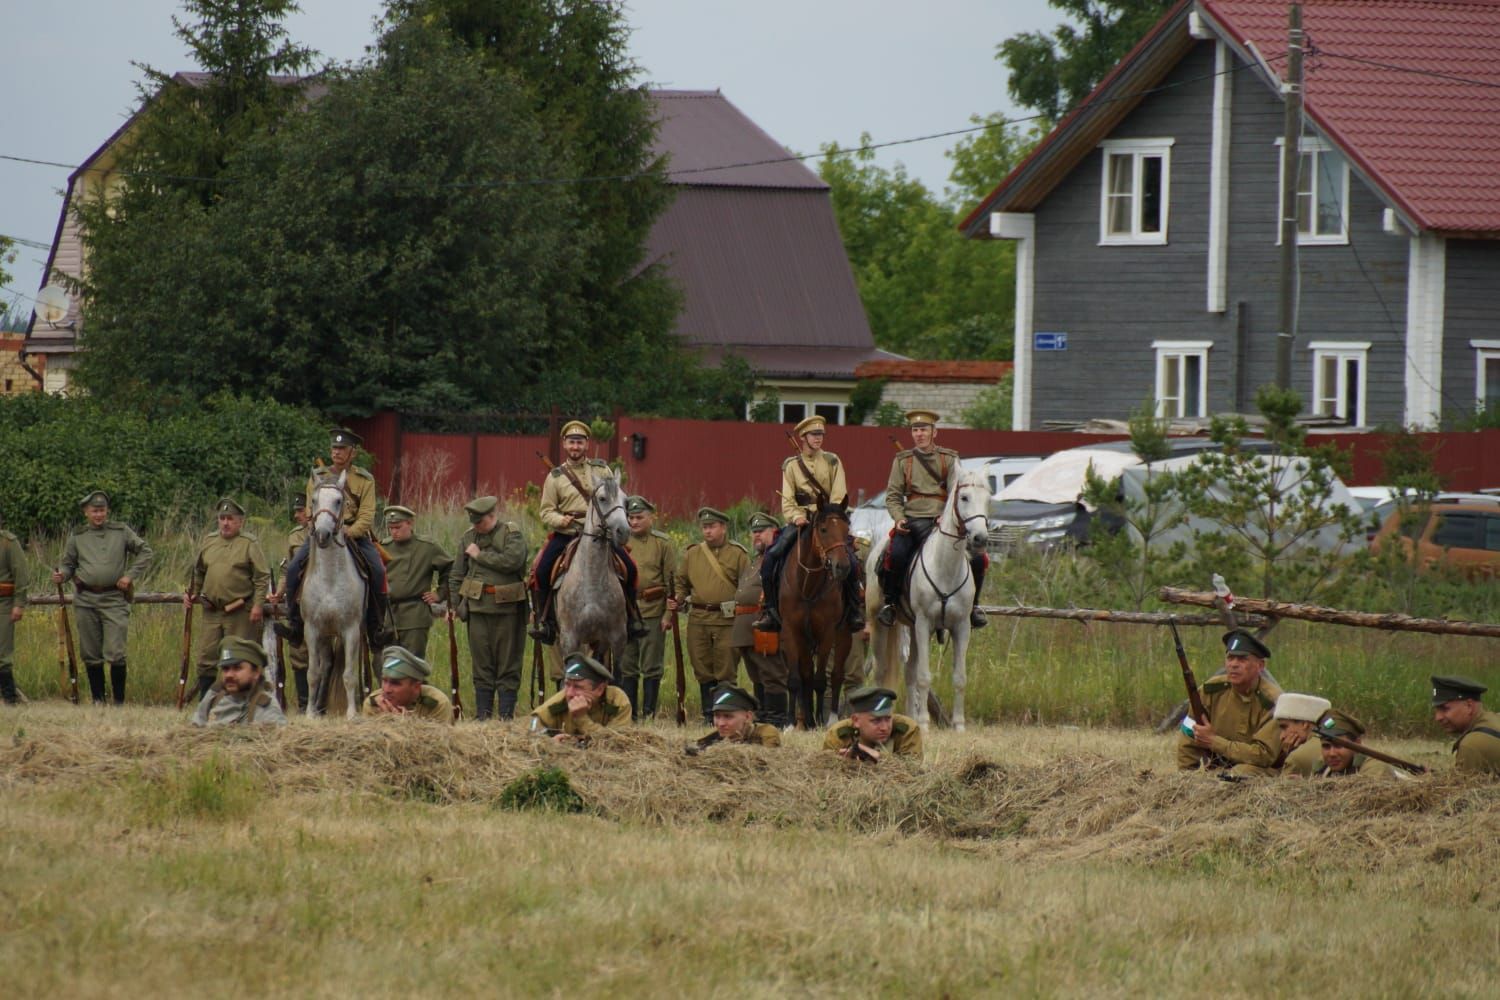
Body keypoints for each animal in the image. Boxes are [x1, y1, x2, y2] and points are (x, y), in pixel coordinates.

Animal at [301, 470, 366, 716]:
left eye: (339, 501)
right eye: (314, 500)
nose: (323, 535)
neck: (329, 580)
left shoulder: (351, 630)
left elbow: (349, 675)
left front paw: (352, 713)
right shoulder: (312, 630)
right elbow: (313, 673)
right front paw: (310, 714)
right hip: (325, 635)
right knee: (326, 666)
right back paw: (319, 705)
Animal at [555, 476, 630, 671]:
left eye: (626, 501)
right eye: (602, 498)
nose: (624, 531)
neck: (592, 580)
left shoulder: (617, 637)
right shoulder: (569, 639)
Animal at [774, 500, 858, 728]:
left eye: (847, 529)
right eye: (823, 529)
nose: (842, 567)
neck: (808, 587)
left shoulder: (827, 632)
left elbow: (821, 680)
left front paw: (822, 719)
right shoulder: (790, 630)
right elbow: (796, 679)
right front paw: (791, 723)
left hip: (844, 634)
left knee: (836, 676)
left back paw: (828, 718)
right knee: (806, 674)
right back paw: (808, 720)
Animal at [870, 464, 996, 731]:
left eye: (988, 499)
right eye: (964, 497)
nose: (980, 538)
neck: (945, 566)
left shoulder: (961, 626)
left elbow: (959, 677)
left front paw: (958, 724)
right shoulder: (924, 624)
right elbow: (924, 677)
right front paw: (926, 724)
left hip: (911, 627)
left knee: (908, 671)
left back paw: (910, 718)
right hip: (879, 625)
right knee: (881, 669)